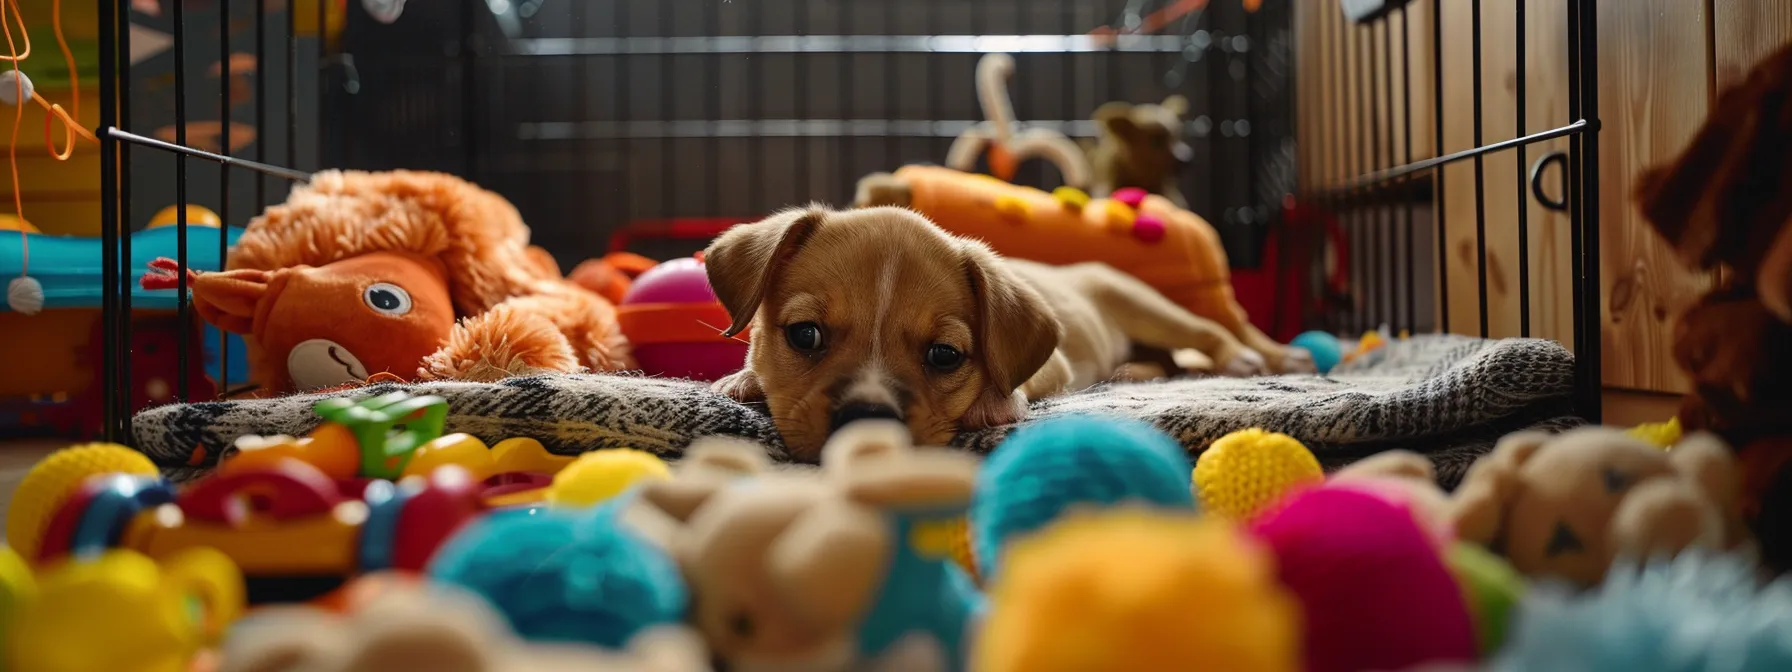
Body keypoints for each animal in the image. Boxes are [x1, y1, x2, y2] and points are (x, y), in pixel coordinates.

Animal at [706, 205, 1283, 462]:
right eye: (804, 335)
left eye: (944, 355)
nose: (867, 420)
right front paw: (743, 380)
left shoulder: (1054, 363)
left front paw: (993, 401)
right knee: (1166, 360)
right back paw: (1130, 371)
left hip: (1148, 307)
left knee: (1213, 332)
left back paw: (1259, 359)